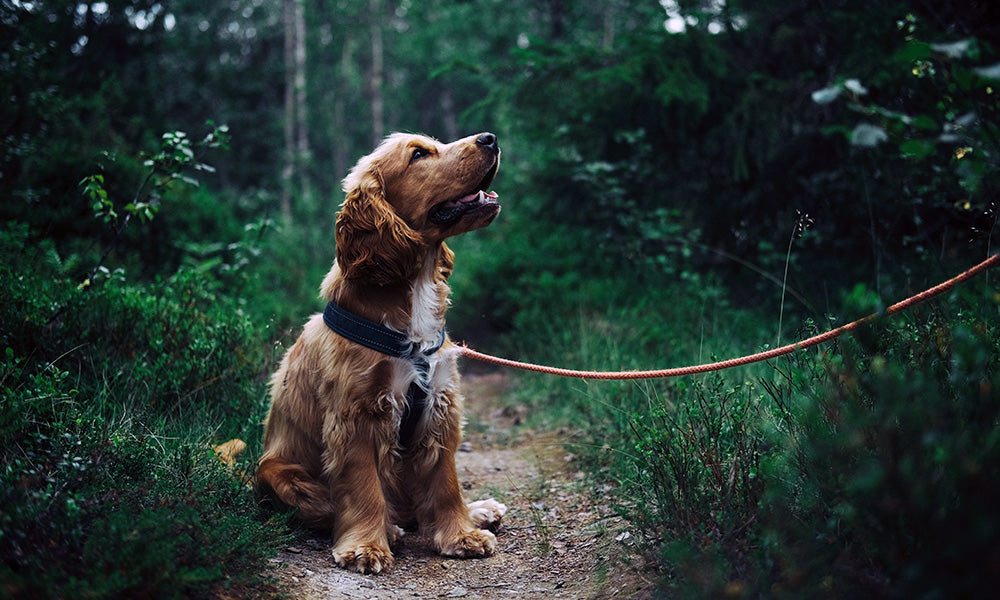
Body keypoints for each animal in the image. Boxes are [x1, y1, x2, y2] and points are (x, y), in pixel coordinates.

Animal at [258, 131, 508, 572]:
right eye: (419, 154)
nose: (490, 138)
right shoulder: (357, 414)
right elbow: (363, 487)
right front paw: (366, 546)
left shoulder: (439, 404)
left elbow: (445, 482)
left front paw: (461, 535)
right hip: (278, 474)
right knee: (333, 507)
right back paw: (389, 529)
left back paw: (478, 510)